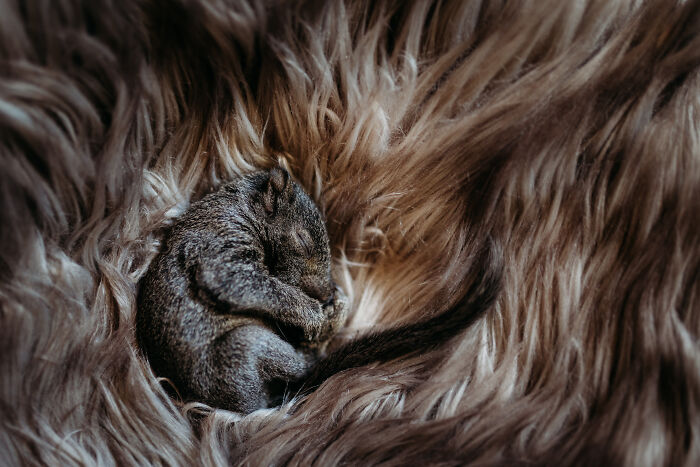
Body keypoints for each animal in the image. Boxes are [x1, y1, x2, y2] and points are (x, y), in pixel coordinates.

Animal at [136, 168, 502, 414]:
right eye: (301, 239)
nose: (327, 293)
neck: (237, 206)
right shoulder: (218, 252)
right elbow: (260, 286)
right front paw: (315, 315)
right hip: (246, 346)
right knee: (300, 365)